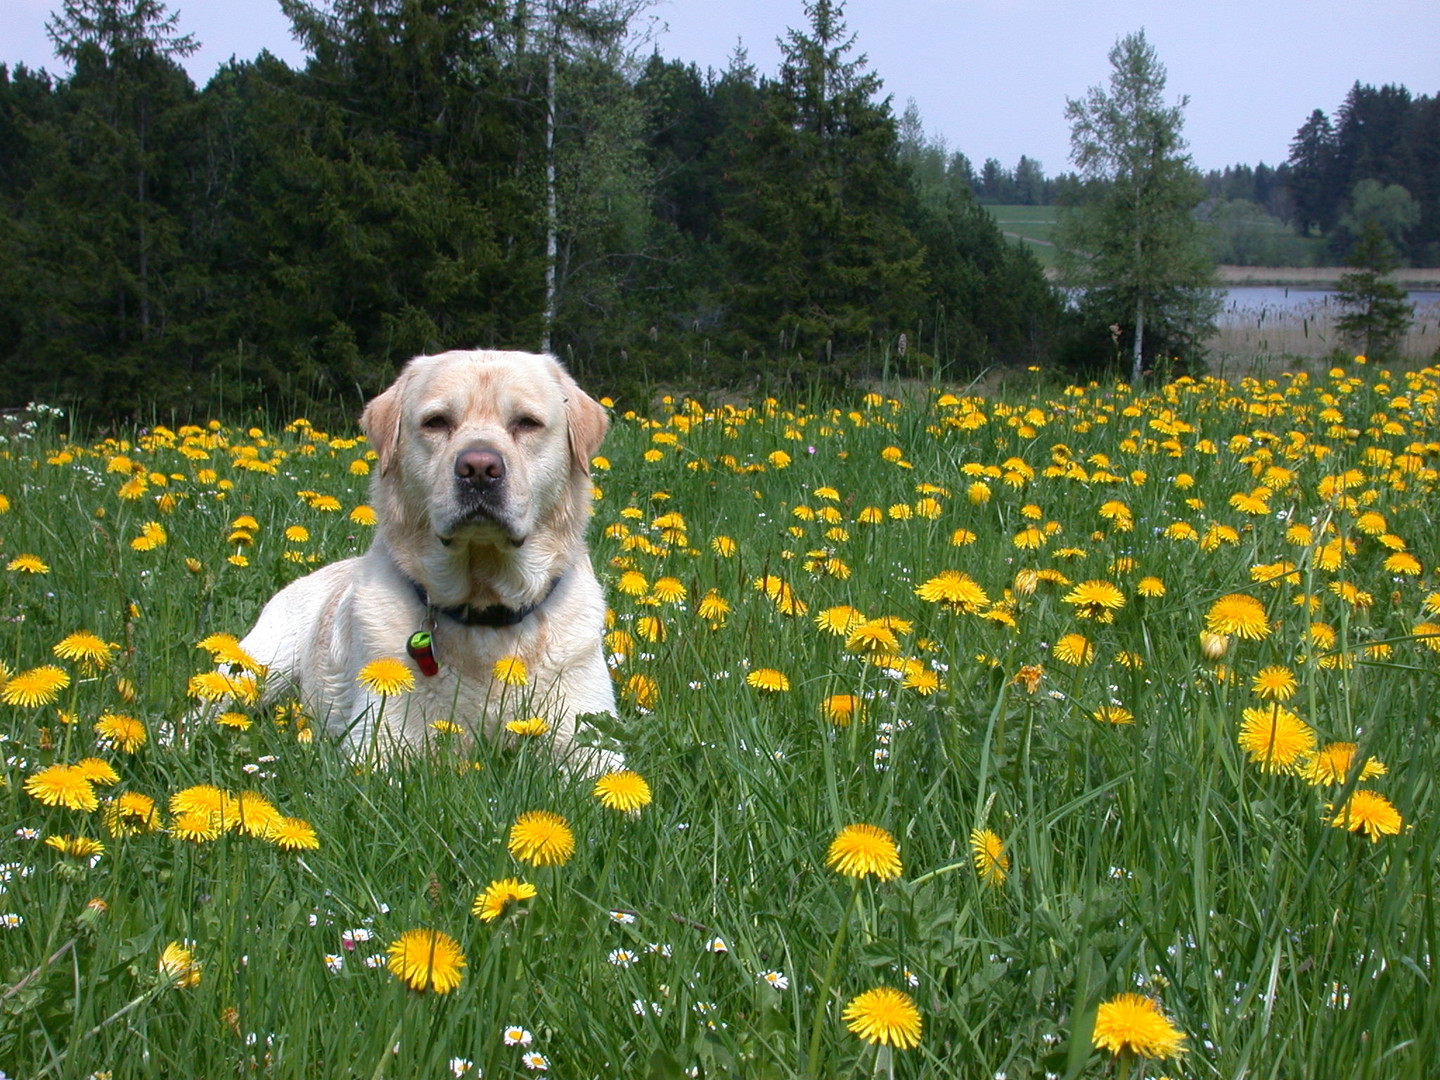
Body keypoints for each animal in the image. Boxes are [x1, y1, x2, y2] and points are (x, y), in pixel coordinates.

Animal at [236, 351, 619, 771]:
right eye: (437, 422)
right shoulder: (377, 744)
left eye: (526, 422)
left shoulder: (593, 741)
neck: (484, 609)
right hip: (263, 665)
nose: (479, 468)